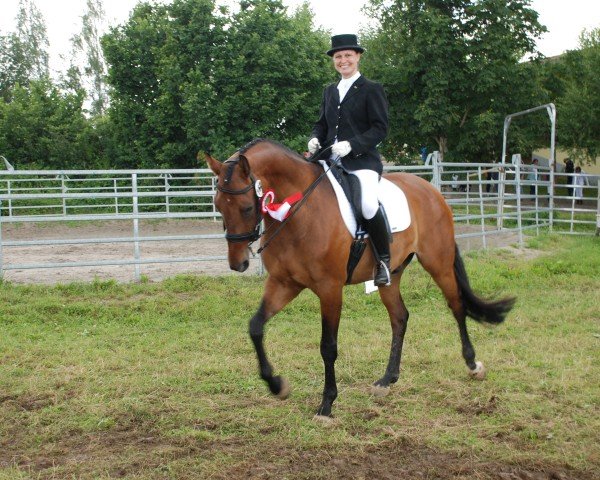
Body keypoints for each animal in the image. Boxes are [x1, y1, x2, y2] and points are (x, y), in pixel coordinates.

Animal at [206, 140, 516, 420]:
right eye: (218, 206)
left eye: (247, 208)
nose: (238, 264)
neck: (300, 213)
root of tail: (430, 190)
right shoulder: (284, 283)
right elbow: (256, 327)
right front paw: (276, 385)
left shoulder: (330, 289)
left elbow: (328, 347)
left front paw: (327, 405)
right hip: (391, 276)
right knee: (400, 317)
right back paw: (387, 380)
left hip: (437, 263)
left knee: (456, 306)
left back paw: (473, 364)